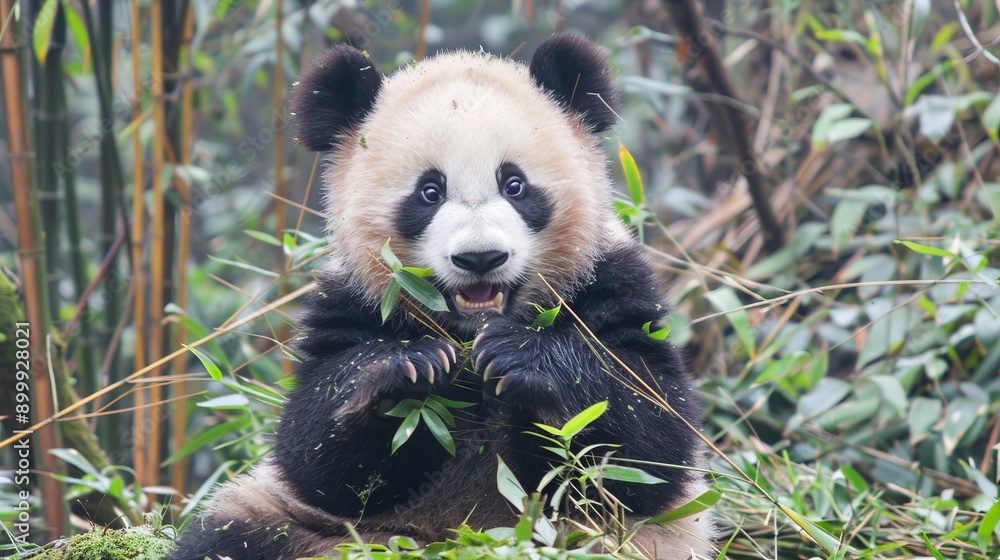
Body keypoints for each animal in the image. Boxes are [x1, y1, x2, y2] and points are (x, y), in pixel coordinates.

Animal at [169, 33, 713, 560]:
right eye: (429, 192)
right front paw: (407, 367)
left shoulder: (610, 281)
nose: (480, 257)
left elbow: (649, 442)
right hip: (318, 527)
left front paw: (523, 358)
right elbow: (314, 455)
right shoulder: (352, 298)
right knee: (235, 537)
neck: (469, 335)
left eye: (514, 185)